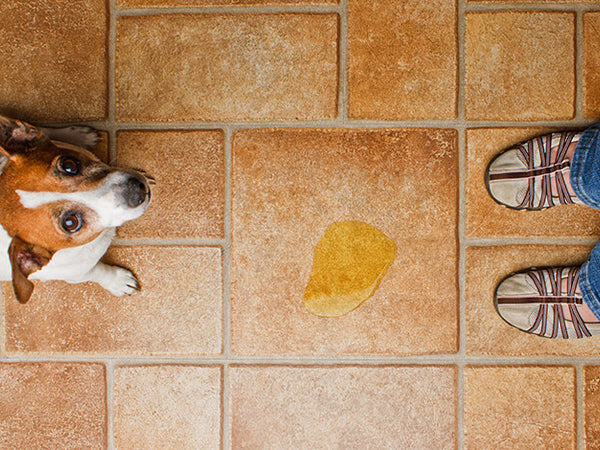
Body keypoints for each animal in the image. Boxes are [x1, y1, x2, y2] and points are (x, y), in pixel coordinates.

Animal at [0, 114, 152, 303]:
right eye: (70, 223)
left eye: (69, 165)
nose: (137, 190)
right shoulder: (77, 274)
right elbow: (99, 272)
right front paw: (118, 282)